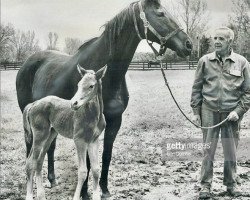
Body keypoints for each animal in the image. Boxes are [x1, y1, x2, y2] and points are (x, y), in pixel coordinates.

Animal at [22, 64, 106, 200]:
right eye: (78, 84)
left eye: (91, 86)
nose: (74, 103)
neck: (94, 116)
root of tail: (33, 104)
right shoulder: (79, 140)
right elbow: (83, 171)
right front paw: (76, 197)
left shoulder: (94, 140)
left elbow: (96, 169)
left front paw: (96, 196)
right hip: (39, 135)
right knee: (31, 162)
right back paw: (29, 195)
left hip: (50, 134)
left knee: (39, 161)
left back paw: (41, 195)